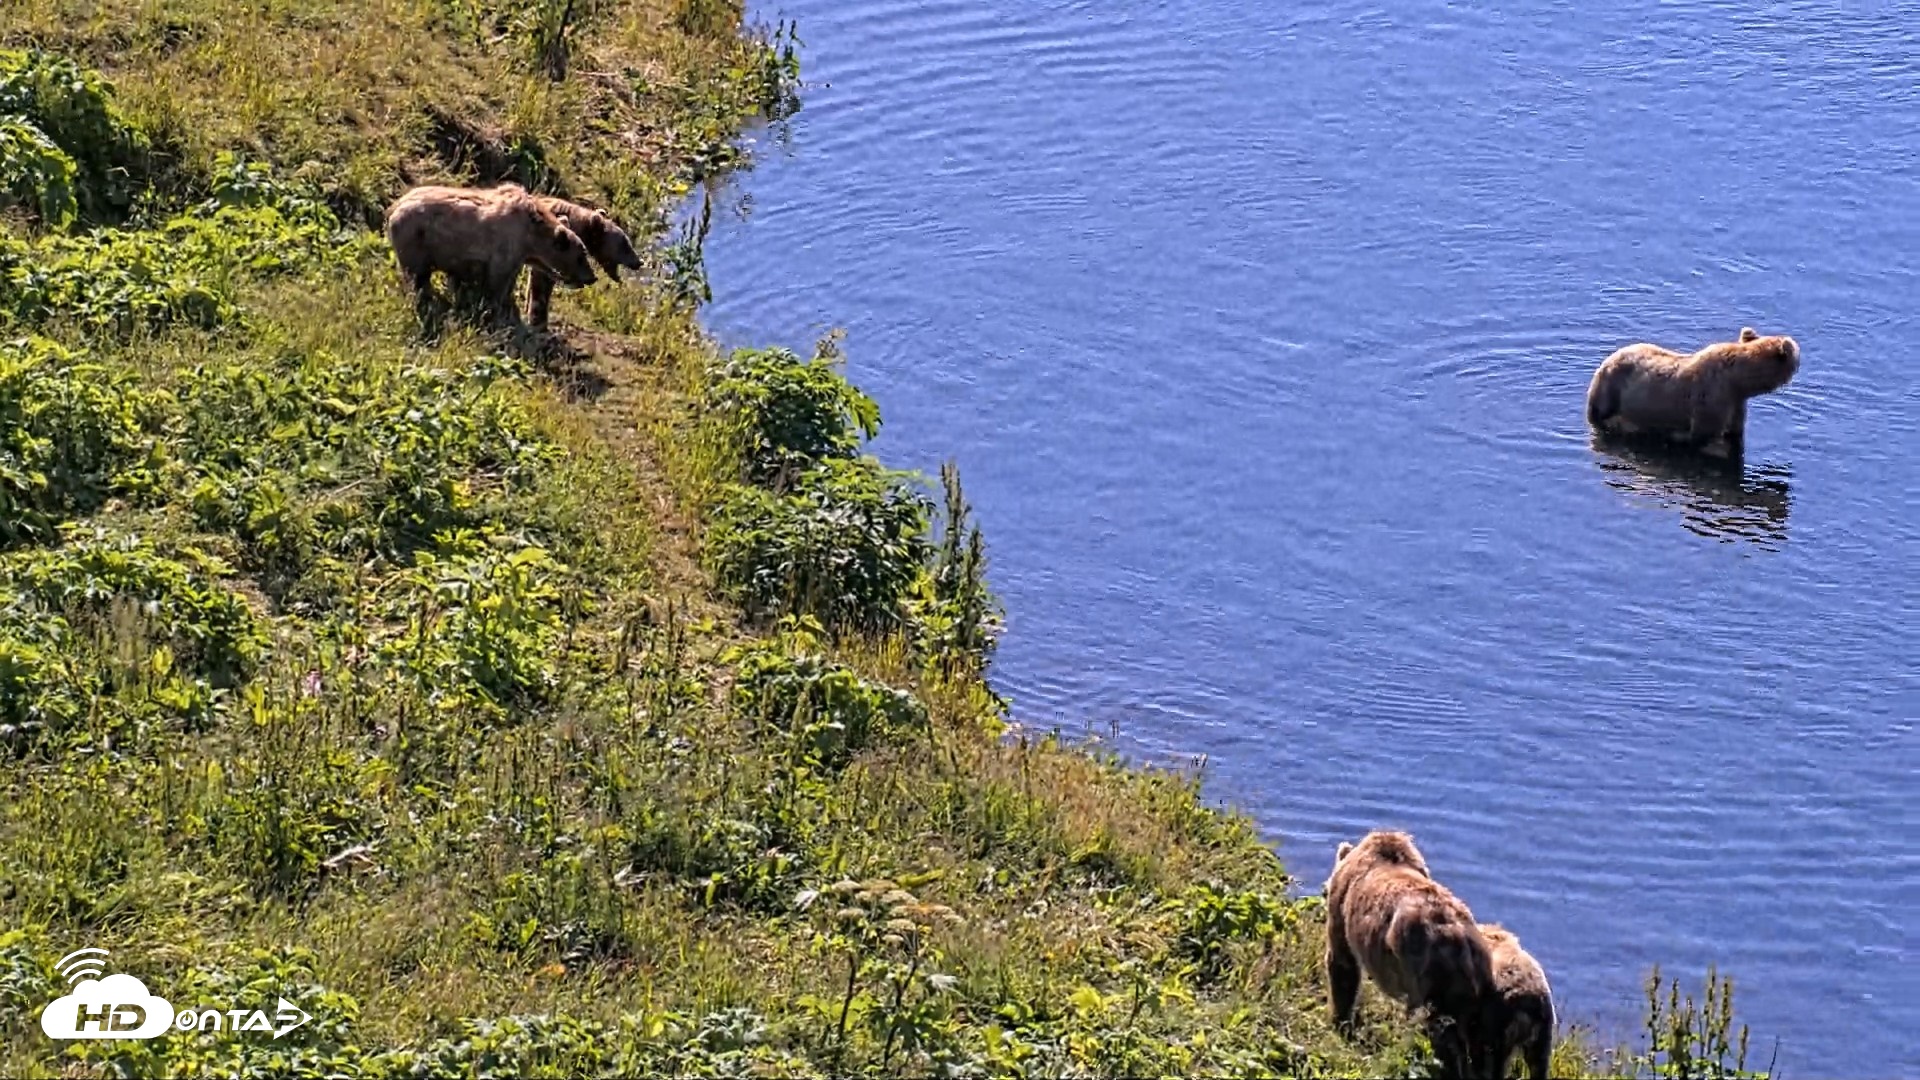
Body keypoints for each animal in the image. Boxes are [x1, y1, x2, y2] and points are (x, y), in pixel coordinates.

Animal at [384, 183, 597, 330]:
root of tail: (393, 209)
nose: (592, 277)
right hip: (417, 242)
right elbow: (496, 282)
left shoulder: (518, 254)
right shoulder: (505, 245)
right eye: (581, 256)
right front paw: (495, 310)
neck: (531, 237)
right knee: (418, 277)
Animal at [1325, 831, 1500, 1079]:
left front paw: (1340, 1023)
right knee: (1479, 1038)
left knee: (1439, 1029)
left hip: (1432, 974)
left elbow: (1343, 966)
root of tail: (1462, 942)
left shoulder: (1342, 907)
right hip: (1480, 981)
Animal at [1585, 326, 1800, 459]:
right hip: (1611, 390)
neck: (1737, 382)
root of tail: (1606, 360)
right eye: (1797, 354)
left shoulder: (1736, 403)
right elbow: (1705, 434)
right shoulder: (1712, 398)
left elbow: (1735, 431)